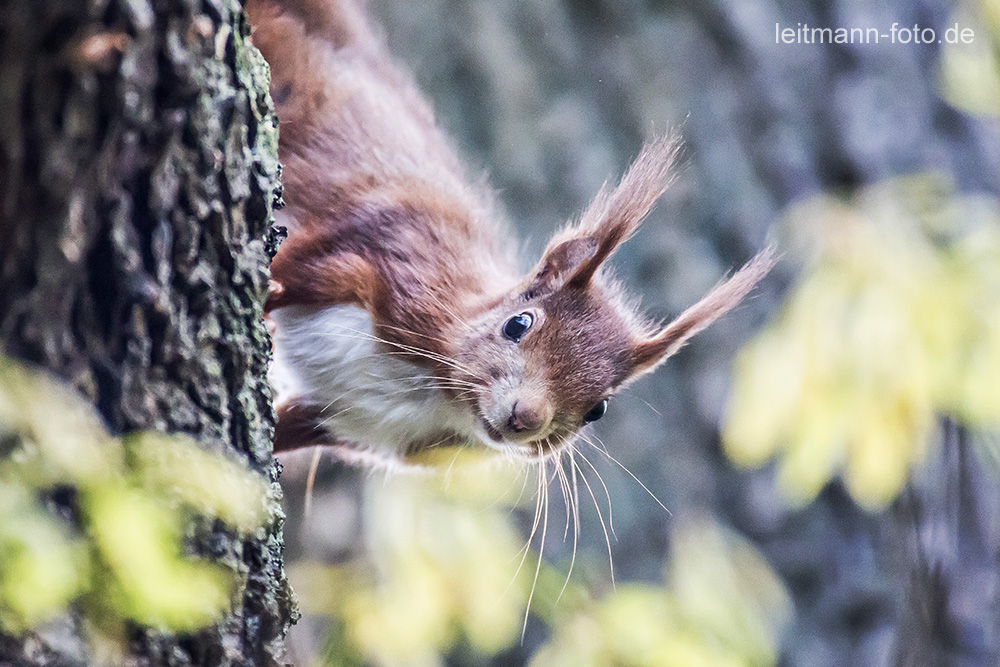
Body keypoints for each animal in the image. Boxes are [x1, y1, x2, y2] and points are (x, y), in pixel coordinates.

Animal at [246, 0, 776, 464]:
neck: (435, 392)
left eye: (598, 410)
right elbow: (292, 269)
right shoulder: (371, 255)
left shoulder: (347, 421)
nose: (526, 419)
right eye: (517, 324)